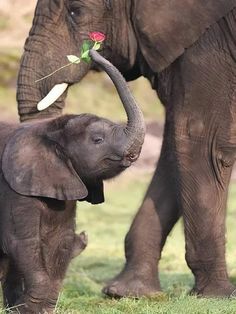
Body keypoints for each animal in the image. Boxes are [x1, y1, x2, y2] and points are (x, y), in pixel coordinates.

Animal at [0, 50, 146, 312]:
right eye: (98, 140)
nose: (93, 51)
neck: (49, 131)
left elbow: (60, 243)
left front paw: (34, 309)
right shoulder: (14, 189)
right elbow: (22, 243)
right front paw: (27, 309)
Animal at [17, 0, 236, 298]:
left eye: (76, 11)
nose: (92, 50)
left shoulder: (210, 42)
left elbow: (200, 141)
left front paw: (215, 296)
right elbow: (175, 146)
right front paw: (126, 293)